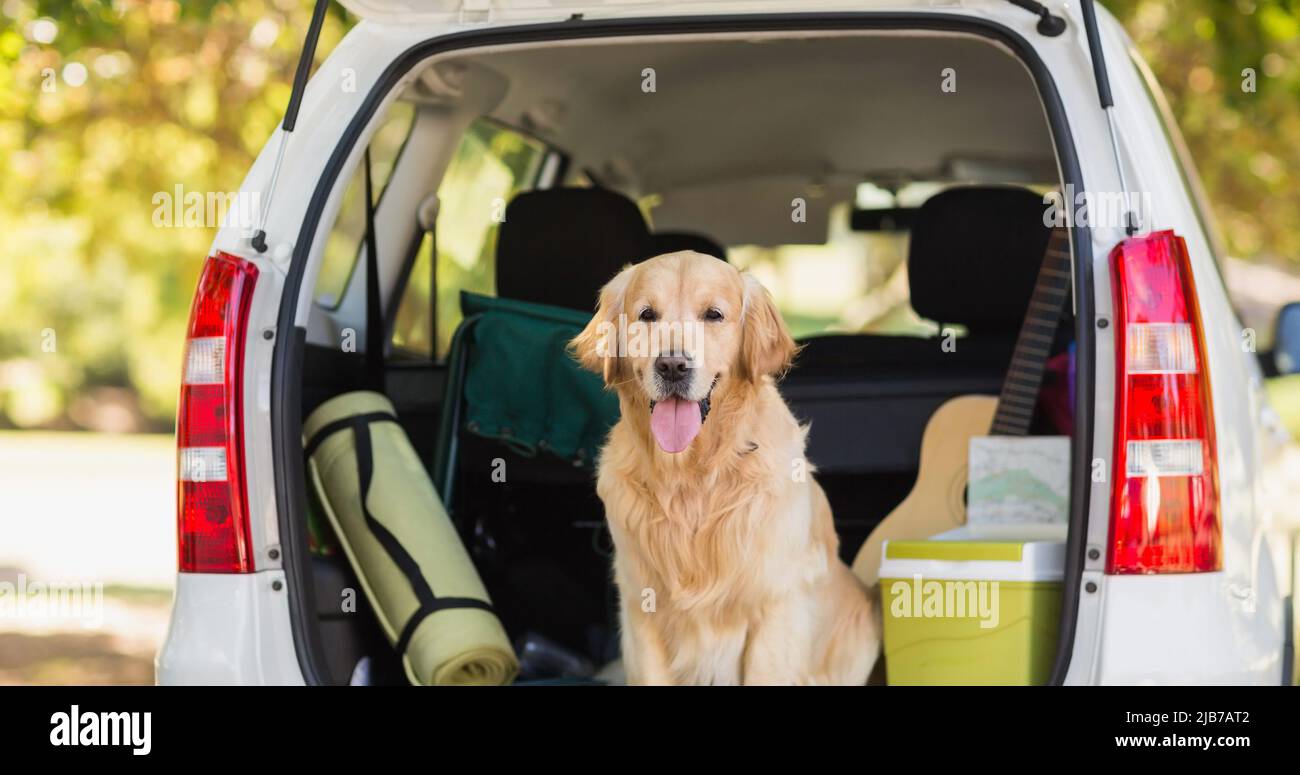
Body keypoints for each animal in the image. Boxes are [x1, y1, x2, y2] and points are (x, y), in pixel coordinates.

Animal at [572, 249, 883, 686]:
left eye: (714, 315)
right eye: (647, 314)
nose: (672, 366)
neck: (693, 477)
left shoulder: (774, 607)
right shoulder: (641, 609)